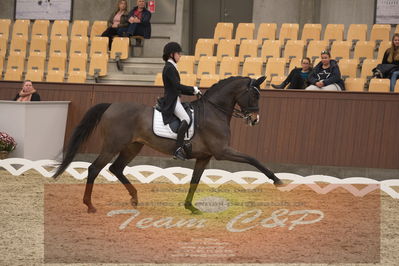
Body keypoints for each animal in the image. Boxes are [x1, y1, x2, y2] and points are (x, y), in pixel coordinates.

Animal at [54, 76, 284, 214]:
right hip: (112, 145)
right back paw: (90, 205)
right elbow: (253, 159)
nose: (255, 120)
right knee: (94, 169)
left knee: (116, 168)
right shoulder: (222, 152)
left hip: (132, 147)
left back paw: (135, 199)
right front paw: (277, 180)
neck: (214, 111)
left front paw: (190, 207)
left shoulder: (204, 157)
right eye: (254, 95)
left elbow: (194, 181)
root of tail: (111, 105)